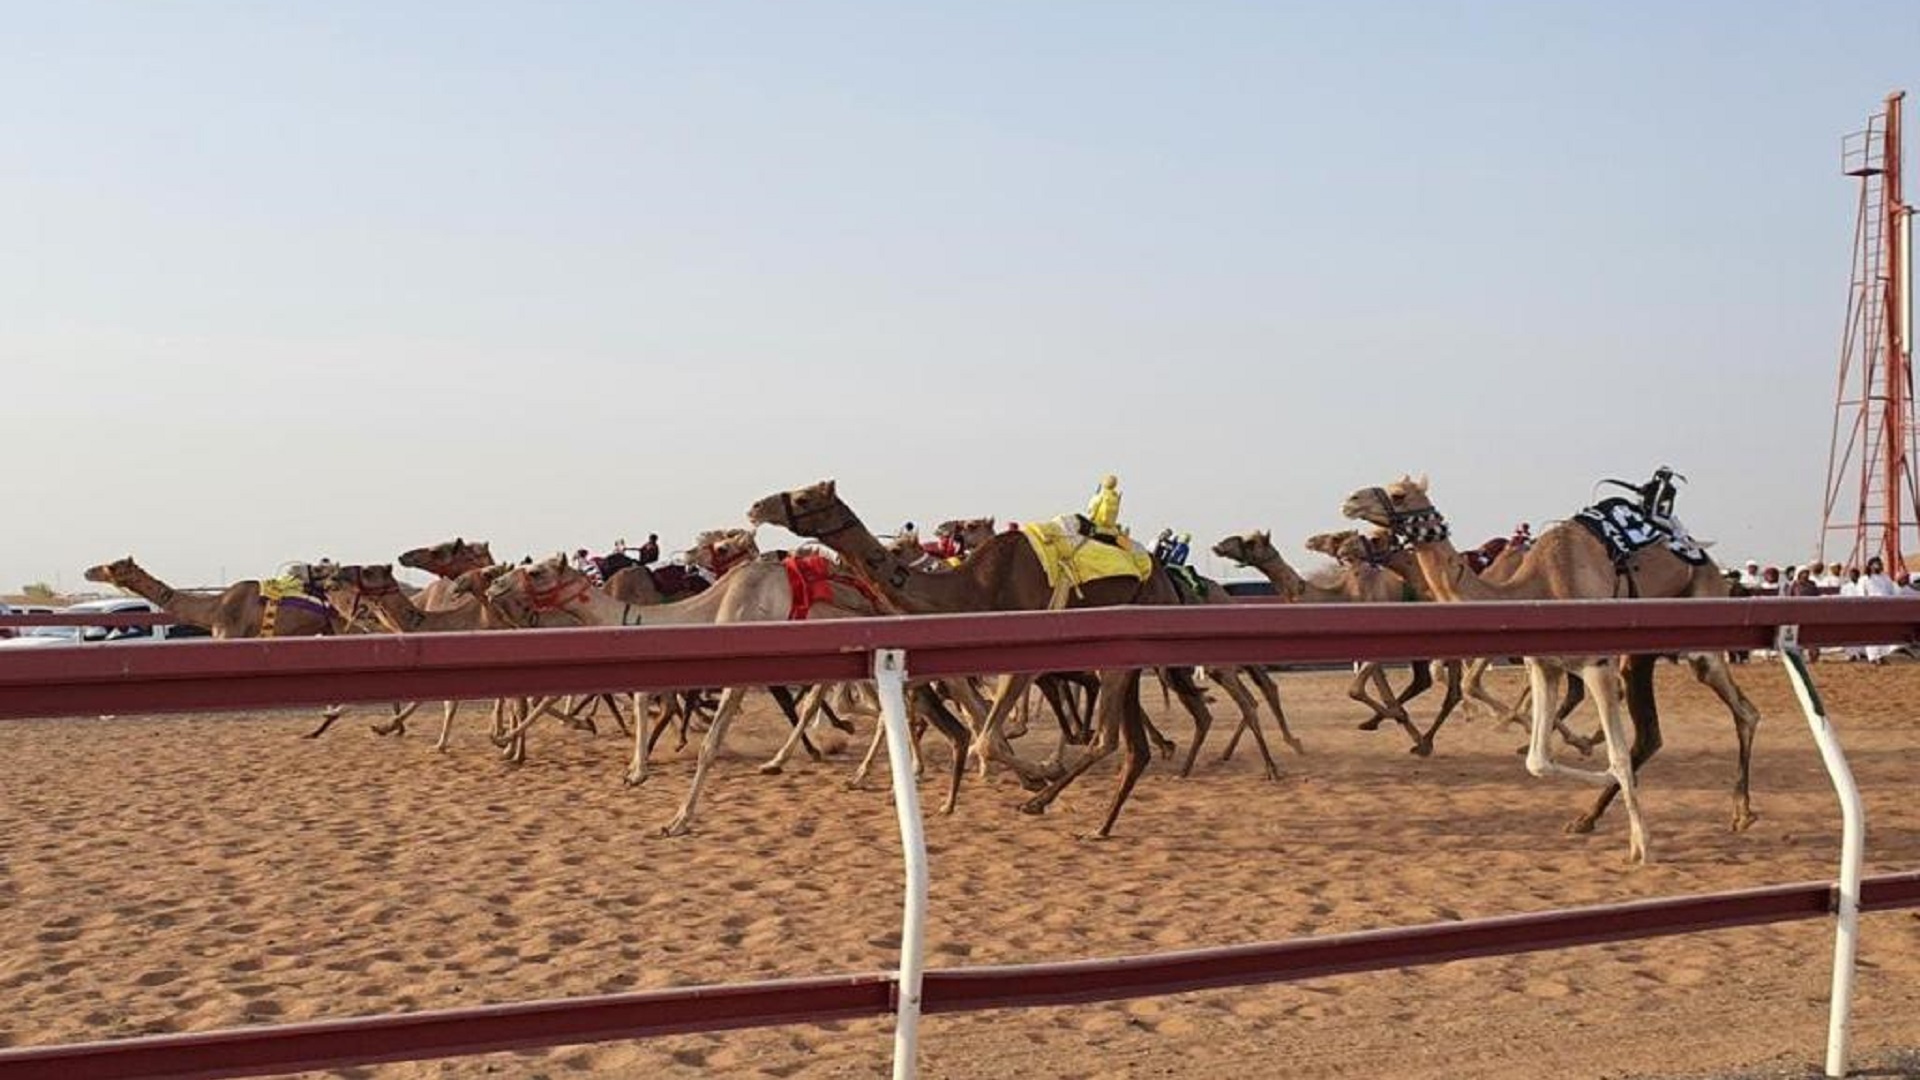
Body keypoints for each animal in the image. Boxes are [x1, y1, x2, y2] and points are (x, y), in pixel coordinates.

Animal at [737, 474, 1244, 837]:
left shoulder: (1025, 657)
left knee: (1107, 739)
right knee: (1133, 747)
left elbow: (987, 738)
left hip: (1124, 653)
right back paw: (1099, 823)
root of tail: (1162, 574)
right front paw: (1028, 776)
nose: (756, 506)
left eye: (805, 498)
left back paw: (1047, 802)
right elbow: (985, 729)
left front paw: (1036, 776)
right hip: (1129, 661)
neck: (971, 588)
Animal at [1344, 474, 1758, 860]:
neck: (1534, 587)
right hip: (1641, 651)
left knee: (1741, 708)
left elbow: (1617, 757)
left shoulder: (1596, 664)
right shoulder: (1545, 665)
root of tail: (1703, 554)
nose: (1350, 500)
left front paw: (1643, 844)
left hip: (1700, 624)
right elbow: (1538, 761)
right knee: (1655, 732)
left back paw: (1741, 811)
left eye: (1398, 495)